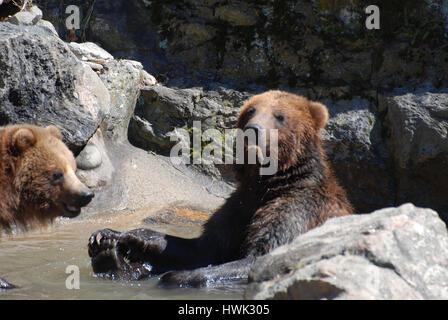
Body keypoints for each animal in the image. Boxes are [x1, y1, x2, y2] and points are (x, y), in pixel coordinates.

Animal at [88, 90, 354, 288]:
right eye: (251, 111)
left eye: (279, 116)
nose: (253, 130)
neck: (270, 182)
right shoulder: (240, 205)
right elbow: (203, 247)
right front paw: (111, 234)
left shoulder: (298, 208)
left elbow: (261, 256)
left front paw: (177, 276)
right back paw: (108, 256)